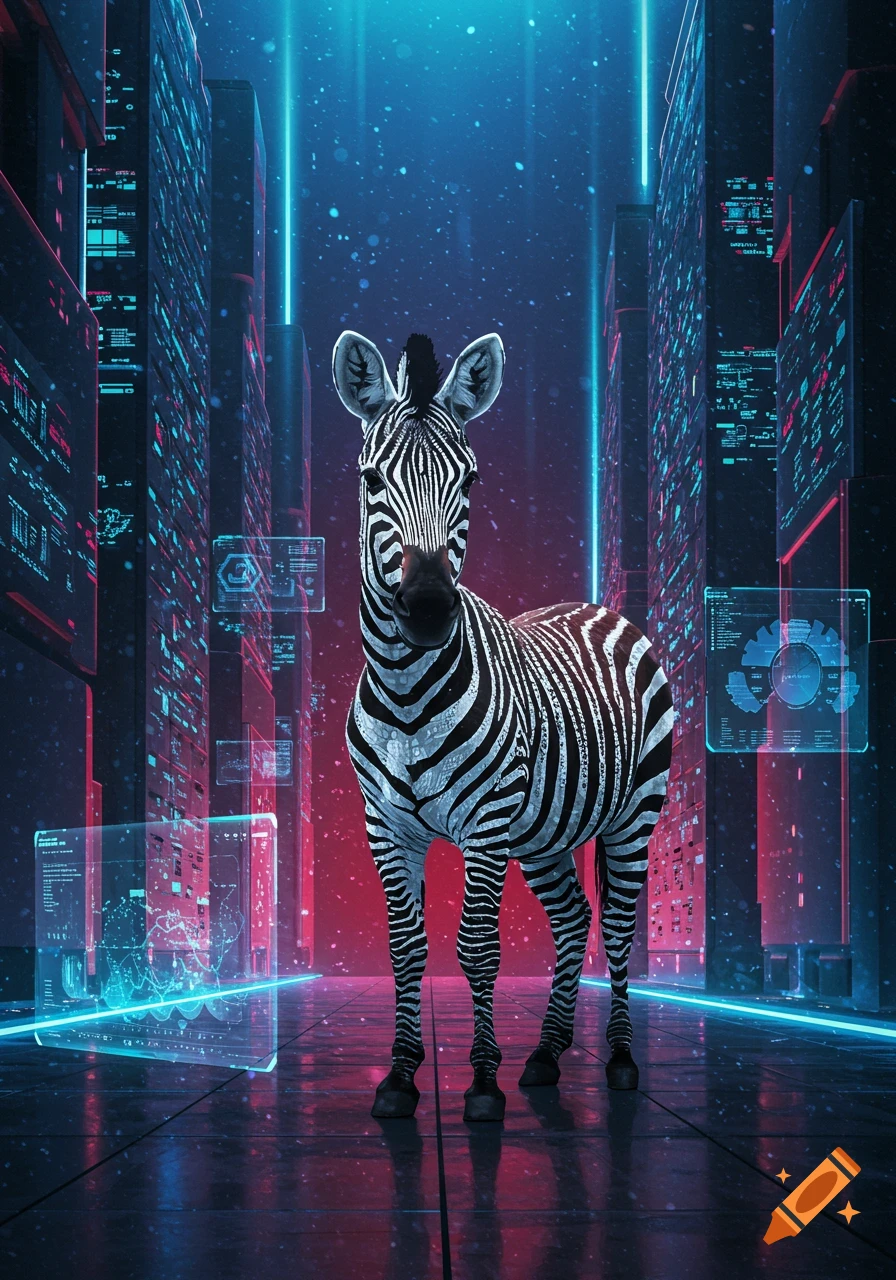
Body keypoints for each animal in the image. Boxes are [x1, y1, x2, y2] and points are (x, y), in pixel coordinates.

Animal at [333, 328, 673, 1122]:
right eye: (371, 479)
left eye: (471, 480)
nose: (428, 611)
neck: (406, 693)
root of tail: (598, 606)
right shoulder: (384, 826)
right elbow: (406, 948)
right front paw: (401, 1076)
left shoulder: (487, 822)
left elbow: (479, 949)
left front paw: (483, 1083)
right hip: (545, 834)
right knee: (574, 919)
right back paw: (546, 1056)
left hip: (634, 815)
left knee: (617, 928)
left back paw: (619, 1060)